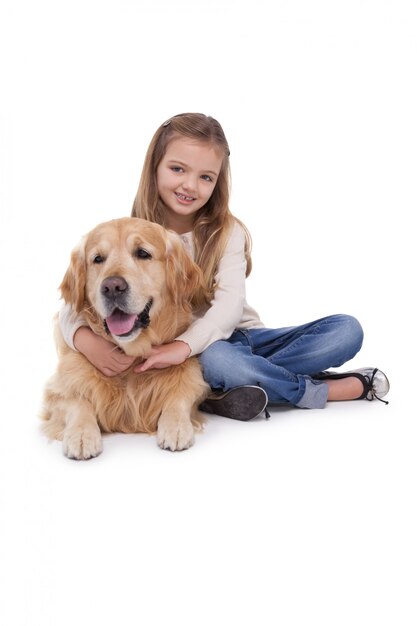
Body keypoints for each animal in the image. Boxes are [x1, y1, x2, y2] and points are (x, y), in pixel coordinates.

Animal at [41, 216, 210, 458]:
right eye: (98, 259)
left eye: (143, 253)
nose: (112, 287)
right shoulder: (56, 391)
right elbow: (78, 402)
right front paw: (81, 435)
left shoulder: (191, 380)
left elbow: (178, 398)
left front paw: (176, 426)